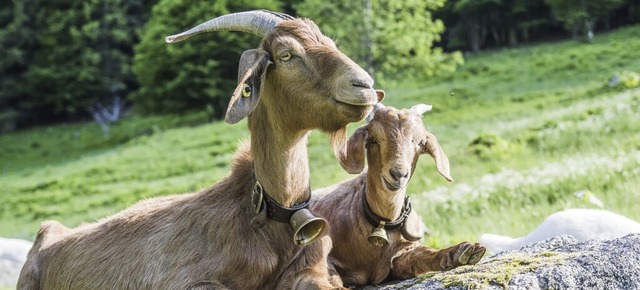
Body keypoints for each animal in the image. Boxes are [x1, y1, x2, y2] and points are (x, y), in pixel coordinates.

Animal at [17, 9, 382, 290]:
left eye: (330, 43)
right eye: (286, 55)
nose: (363, 85)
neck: (267, 217)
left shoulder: (311, 270)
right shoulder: (184, 280)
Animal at [310, 104, 484, 286]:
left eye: (420, 142)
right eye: (373, 139)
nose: (398, 174)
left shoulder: (401, 252)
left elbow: (420, 256)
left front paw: (462, 252)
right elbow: (328, 273)